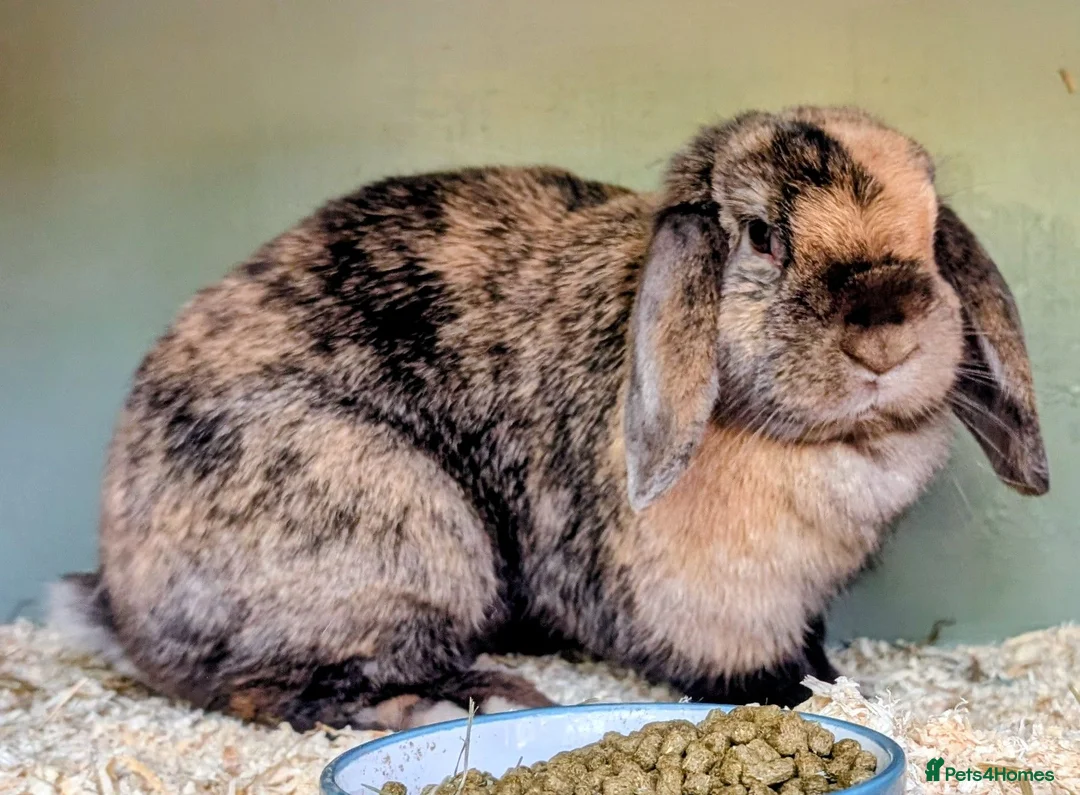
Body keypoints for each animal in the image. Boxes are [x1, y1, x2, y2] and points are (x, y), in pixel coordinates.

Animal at [48, 105, 1049, 732]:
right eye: (764, 236)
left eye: (930, 229)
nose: (886, 327)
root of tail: (120, 595)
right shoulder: (715, 603)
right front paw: (798, 697)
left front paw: (836, 678)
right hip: (400, 526)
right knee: (259, 686)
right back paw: (458, 699)